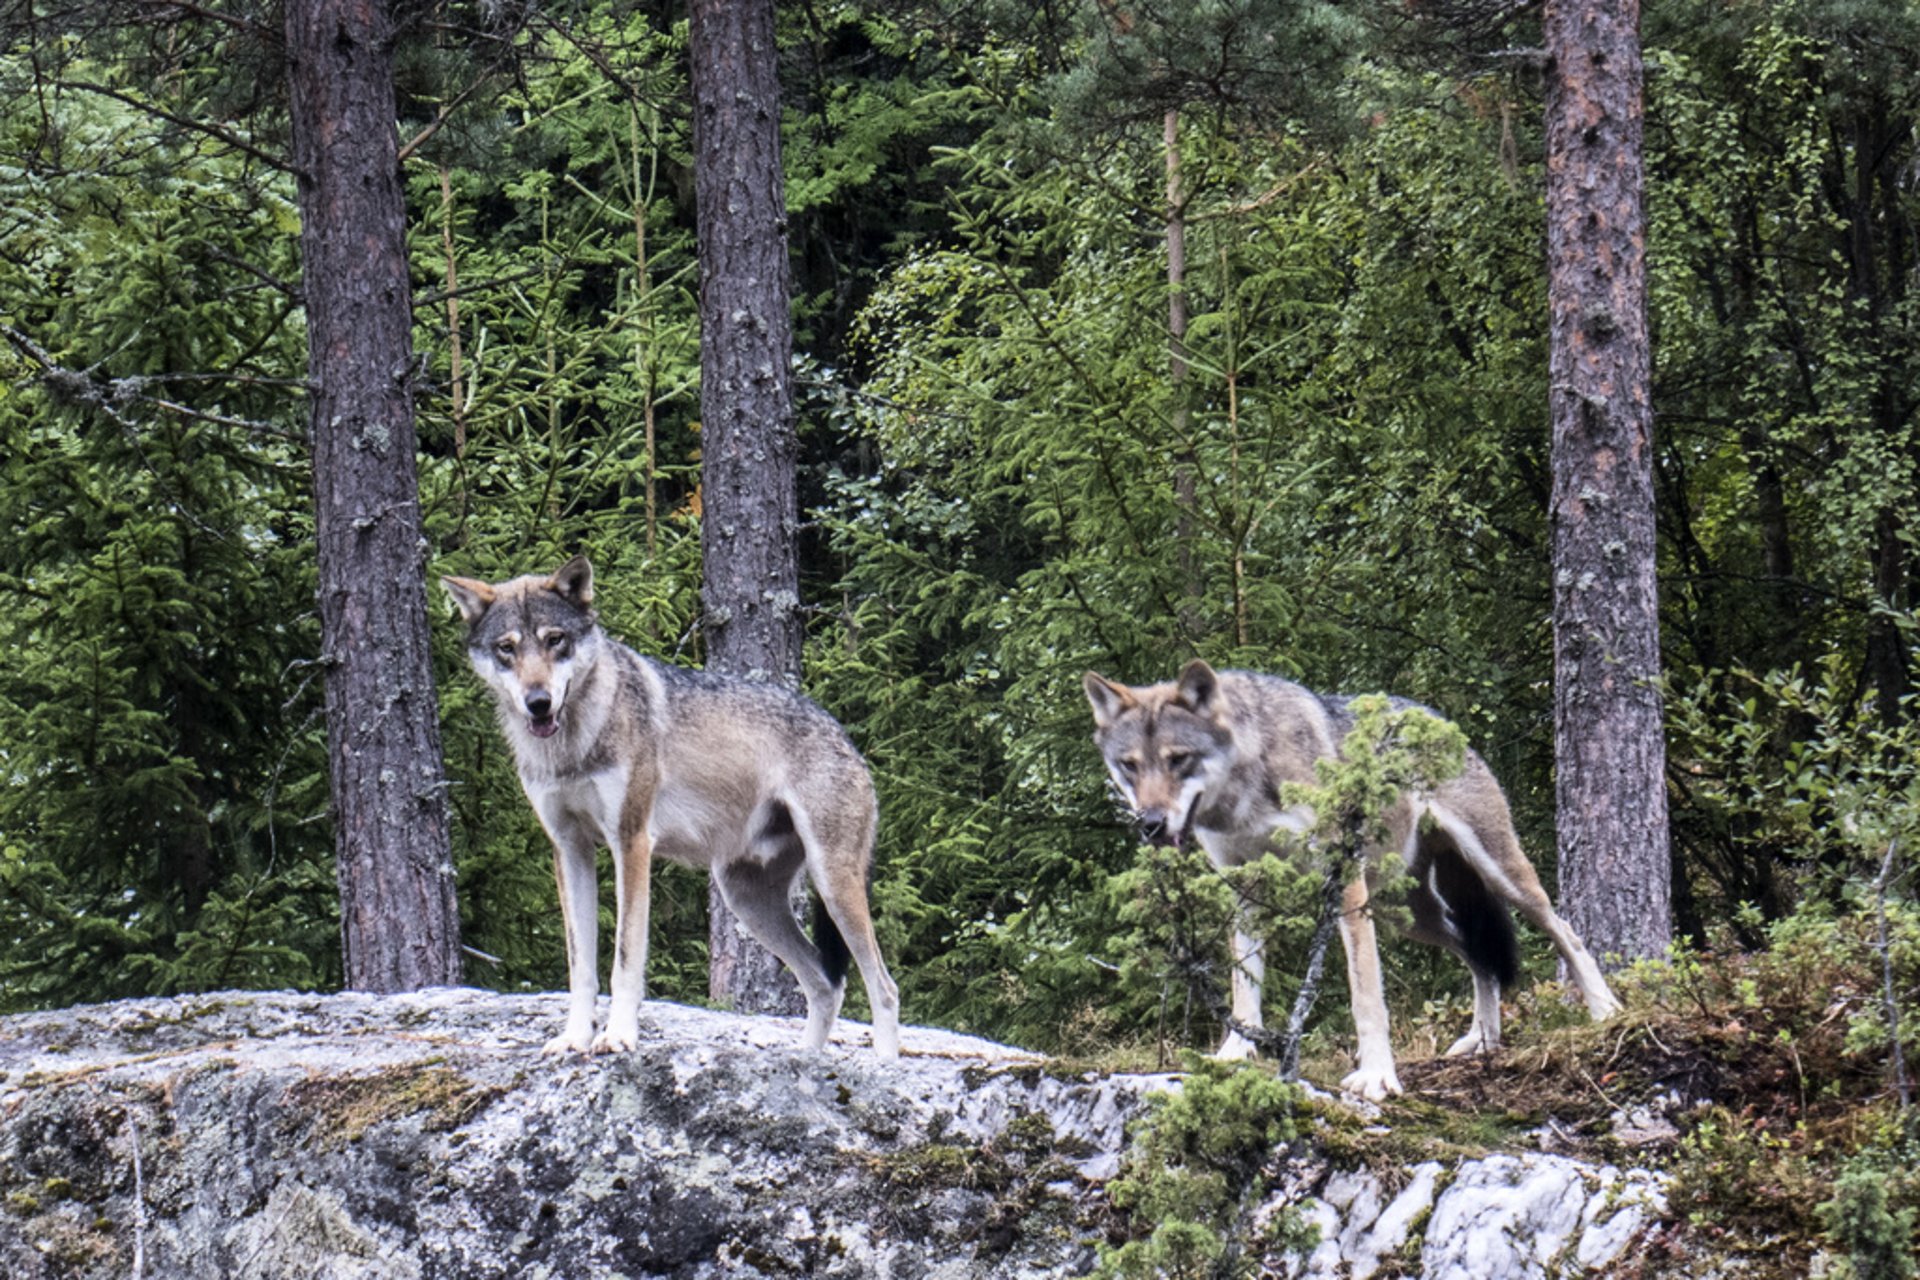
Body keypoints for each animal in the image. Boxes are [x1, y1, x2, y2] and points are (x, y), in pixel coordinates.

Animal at [445, 556, 902, 1059]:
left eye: (554, 640)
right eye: (507, 648)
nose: (539, 702)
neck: (573, 746)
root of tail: (847, 739)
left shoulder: (631, 843)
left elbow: (625, 959)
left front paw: (618, 1035)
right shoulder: (568, 849)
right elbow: (580, 966)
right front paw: (574, 1038)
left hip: (832, 885)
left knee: (882, 987)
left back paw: (881, 1066)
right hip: (746, 899)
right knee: (825, 985)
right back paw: (808, 1060)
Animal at [1082, 660, 1620, 1105]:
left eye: (1179, 759)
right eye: (1129, 765)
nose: (1150, 824)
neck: (1247, 788)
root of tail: (1437, 718)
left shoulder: (1342, 884)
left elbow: (1366, 994)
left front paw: (1378, 1076)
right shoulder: (1245, 889)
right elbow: (1243, 984)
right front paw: (1235, 1053)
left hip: (1497, 876)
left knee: (1565, 933)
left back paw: (1604, 1010)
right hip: (1407, 915)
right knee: (1479, 957)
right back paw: (1484, 1040)